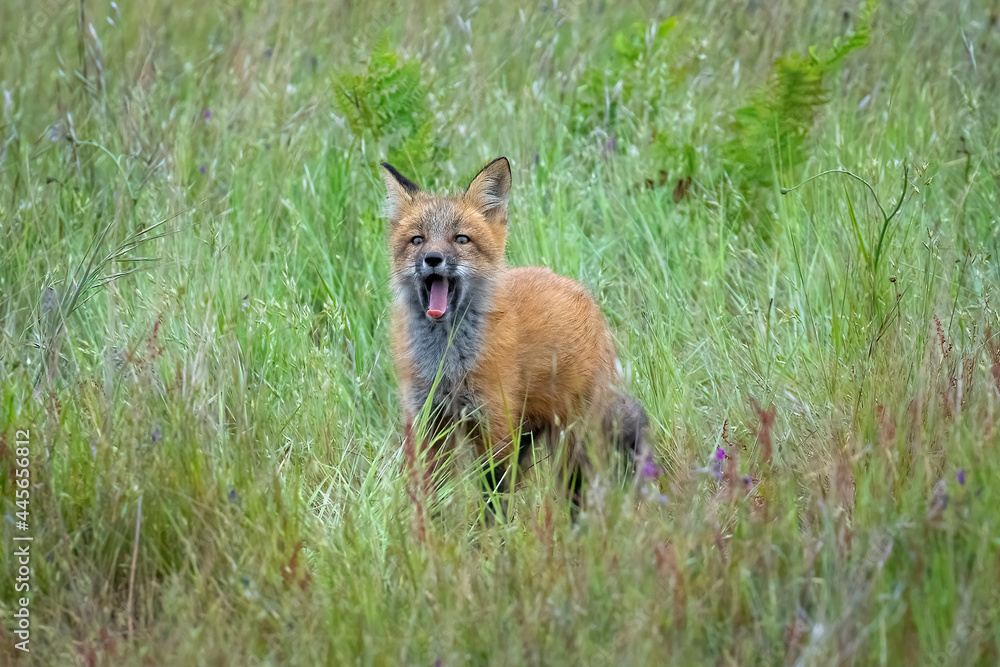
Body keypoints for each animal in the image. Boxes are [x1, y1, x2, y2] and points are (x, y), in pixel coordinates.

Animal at [381, 156, 649, 514]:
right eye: (417, 240)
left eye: (461, 239)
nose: (433, 259)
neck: (447, 363)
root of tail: (582, 292)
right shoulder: (428, 421)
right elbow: (431, 495)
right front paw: (431, 530)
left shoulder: (494, 425)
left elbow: (492, 502)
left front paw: (489, 532)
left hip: (570, 441)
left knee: (575, 494)